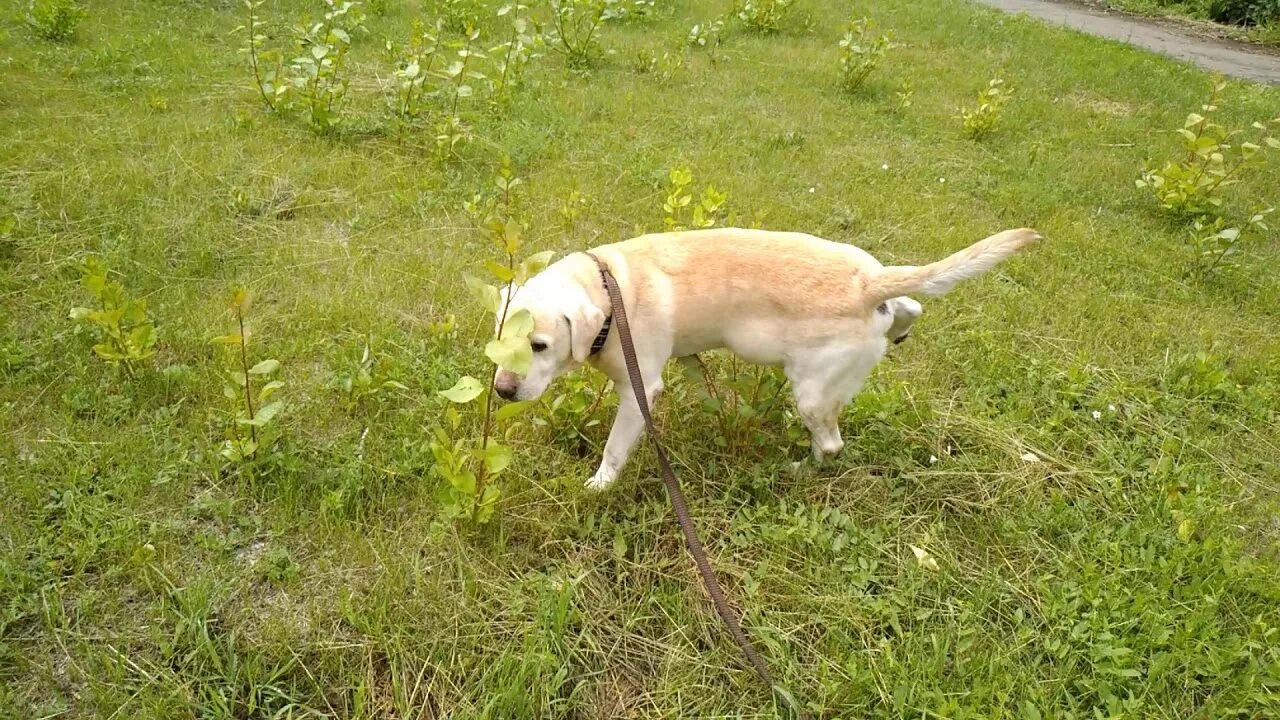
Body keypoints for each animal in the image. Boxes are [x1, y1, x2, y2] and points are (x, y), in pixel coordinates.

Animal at [491, 226, 1039, 489]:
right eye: (499, 342)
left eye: (539, 346)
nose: (501, 390)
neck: (610, 288)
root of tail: (868, 284)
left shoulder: (639, 391)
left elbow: (613, 449)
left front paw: (598, 487)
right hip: (877, 297)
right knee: (911, 304)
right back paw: (901, 323)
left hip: (812, 394)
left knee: (831, 445)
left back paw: (799, 470)